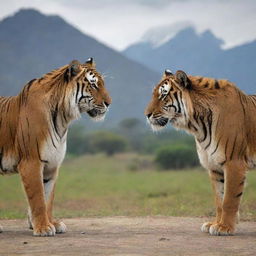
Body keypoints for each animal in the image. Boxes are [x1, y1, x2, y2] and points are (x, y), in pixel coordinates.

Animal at [0, 58, 112, 236]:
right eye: (94, 85)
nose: (109, 103)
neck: (62, 118)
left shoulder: (52, 165)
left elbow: (48, 199)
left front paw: (52, 223)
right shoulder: (31, 162)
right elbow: (38, 198)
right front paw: (43, 228)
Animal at [145, 68, 255, 236]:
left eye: (163, 95)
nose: (147, 114)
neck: (198, 126)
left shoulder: (233, 163)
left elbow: (229, 199)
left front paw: (225, 227)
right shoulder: (214, 166)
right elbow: (219, 200)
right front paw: (215, 224)